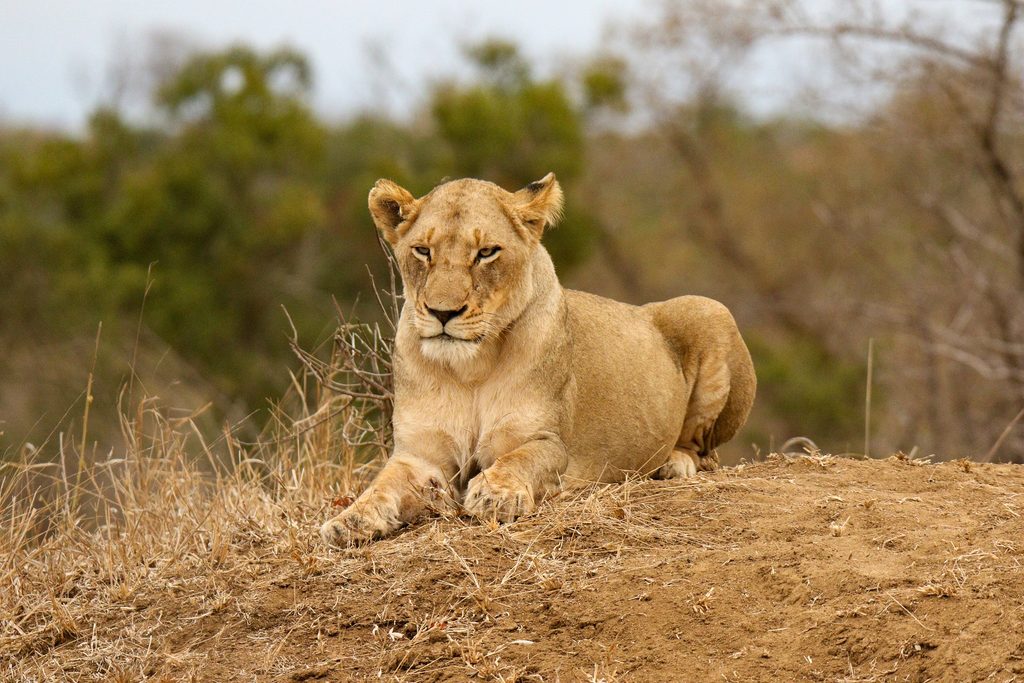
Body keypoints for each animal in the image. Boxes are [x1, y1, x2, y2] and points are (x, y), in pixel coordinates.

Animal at [320, 173, 755, 545]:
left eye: (486, 252)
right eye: (423, 251)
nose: (443, 313)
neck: (470, 368)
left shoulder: (548, 442)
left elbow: (520, 459)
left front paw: (495, 495)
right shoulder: (420, 455)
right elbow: (382, 484)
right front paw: (349, 520)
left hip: (710, 309)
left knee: (703, 450)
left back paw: (671, 465)